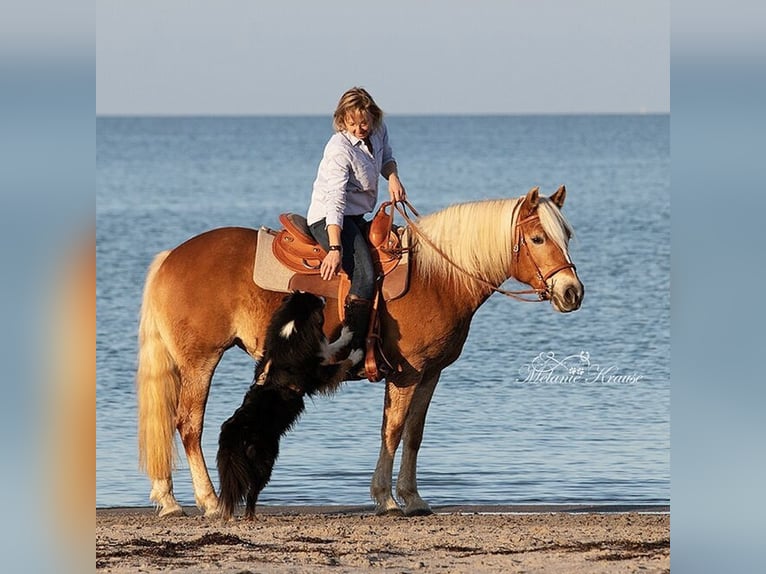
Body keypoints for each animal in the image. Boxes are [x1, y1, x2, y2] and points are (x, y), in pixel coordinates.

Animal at [216, 292, 360, 520]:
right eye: (316, 301)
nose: (323, 297)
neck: (289, 333)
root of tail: (235, 431)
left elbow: (329, 346)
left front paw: (345, 333)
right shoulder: (316, 374)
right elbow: (338, 361)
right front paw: (356, 353)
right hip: (264, 461)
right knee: (251, 492)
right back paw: (251, 516)